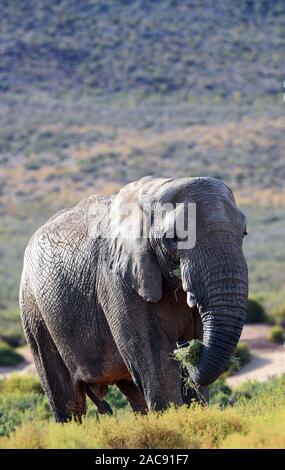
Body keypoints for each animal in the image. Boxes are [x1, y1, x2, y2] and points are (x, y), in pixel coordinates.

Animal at [19, 176, 246, 422]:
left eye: (244, 233)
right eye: (175, 238)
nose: (185, 350)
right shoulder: (117, 280)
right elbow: (156, 360)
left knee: (134, 393)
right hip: (34, 310)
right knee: (67, 400)